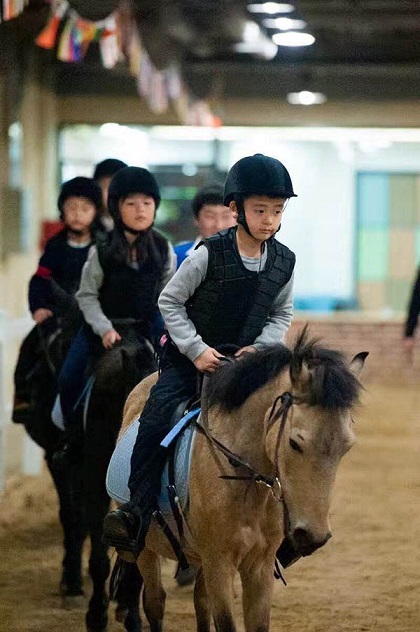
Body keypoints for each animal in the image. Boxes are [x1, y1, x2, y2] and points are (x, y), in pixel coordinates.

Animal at [116, 330, 366, 632]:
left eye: (347, 446)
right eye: (295, 442)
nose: (314, 536)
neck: (244, 482)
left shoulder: (258, 566)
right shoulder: (219, 564)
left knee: (200, 602)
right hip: (147, 549)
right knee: (155, 602)